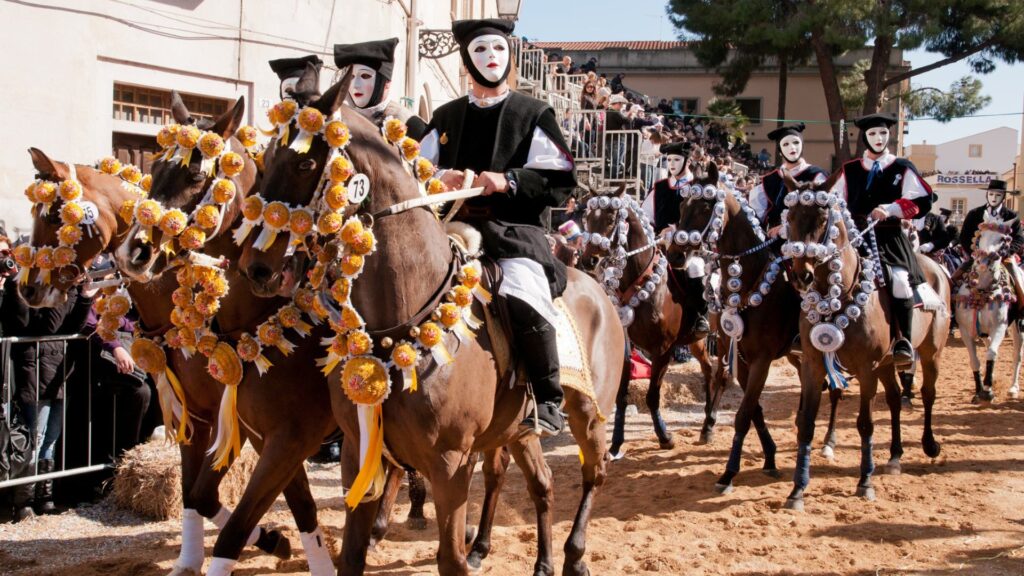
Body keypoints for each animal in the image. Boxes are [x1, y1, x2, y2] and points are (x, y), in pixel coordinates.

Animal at [239, 76, 622, 573]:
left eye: (305, 162)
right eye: (265, 161)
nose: (257, 268)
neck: (401, 329)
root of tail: (598, 287)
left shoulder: (451, 465)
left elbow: (450, 559)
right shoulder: (359, 454)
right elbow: (353, 554)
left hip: (589, 417)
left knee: (594, 474)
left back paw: (574, 555)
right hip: (519, 430)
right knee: (541, 483)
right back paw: (536, 559)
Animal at [581, 184, 716, 453]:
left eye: (610, 219)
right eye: (588, 218)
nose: (588, 260)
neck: (641, 283)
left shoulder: (663, 349)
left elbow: (652, 396)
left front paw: (665, 437)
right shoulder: (625, 347)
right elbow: (622, 396)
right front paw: (616, 443)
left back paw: (710, 423)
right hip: (695, 341)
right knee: (709, 369)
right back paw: (707, 425)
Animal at [667, 177, 843, 491]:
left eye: (705, 207)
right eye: (683, 205)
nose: (675, 254)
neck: (751, 281)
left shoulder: (761, 359)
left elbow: (744, 414)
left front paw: (729, 473)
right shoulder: (741, 356)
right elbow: (753, 408)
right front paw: (770, 457)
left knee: (835, 390)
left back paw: (828, 442)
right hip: (796, 354)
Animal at [782, 174, 942, 506]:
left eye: (822, 219)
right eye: (789, 217)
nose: (802, 276)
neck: (838, 297)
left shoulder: (867, 369)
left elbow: (865, 424)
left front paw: (865, 481)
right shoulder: (813, 365)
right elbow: (806, 423)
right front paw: (798, 488)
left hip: (930, 352)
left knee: (928, 393)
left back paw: (929, 444)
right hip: (887, 364)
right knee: (894, 398)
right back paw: (894, 456)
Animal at [950, 208, 1024, 401]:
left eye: (1003, 239)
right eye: (980, 234)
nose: (983, 263)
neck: (981, 290)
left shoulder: (1000, 327)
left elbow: (992, 353)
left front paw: (988, 389)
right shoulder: (966, 330)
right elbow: (974, 360)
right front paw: (979, 389)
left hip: (1017, 326)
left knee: (1017, 353)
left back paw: (1013, 388)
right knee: (988, 343)